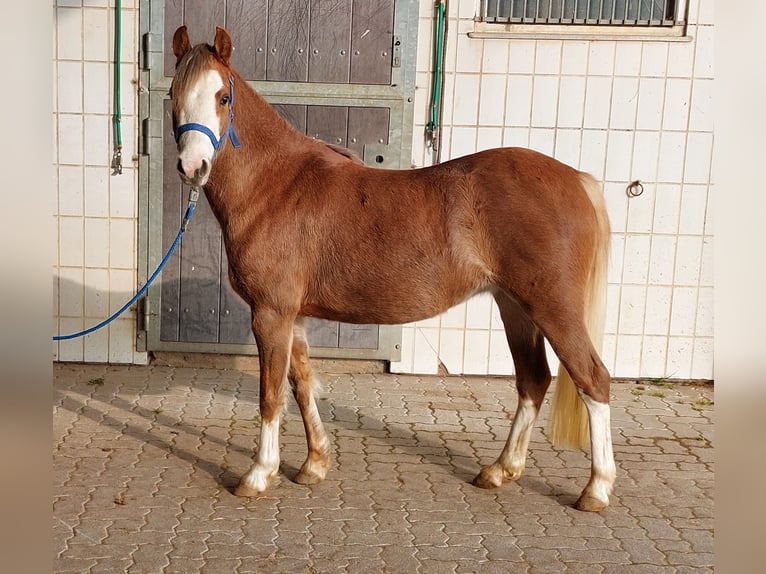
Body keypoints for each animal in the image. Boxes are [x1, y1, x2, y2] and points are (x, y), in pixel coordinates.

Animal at [171, 27, 616, 512]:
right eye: (174, 94)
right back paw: (500, 470)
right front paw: (313, 465)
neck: (277, 186)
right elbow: (302, 385)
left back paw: (596, 489)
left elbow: (270, 396)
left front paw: (257, 474)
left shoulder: (271, 313)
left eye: (222, 97)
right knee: (533, 380)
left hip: (553, 308)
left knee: (593, 380)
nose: (193, 167)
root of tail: (576, 179)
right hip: (515, 307)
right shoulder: (294, 317)